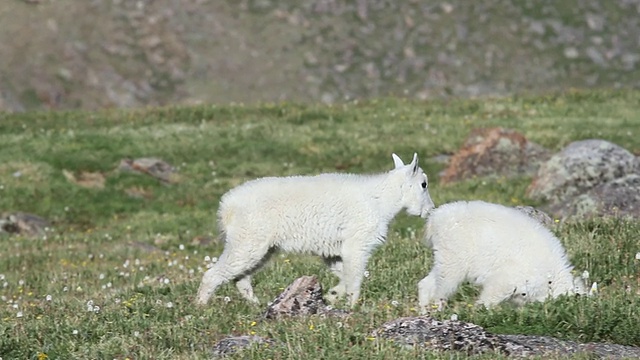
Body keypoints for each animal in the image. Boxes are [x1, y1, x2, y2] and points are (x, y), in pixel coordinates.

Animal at [195, 152, 436, 306]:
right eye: (424, 184)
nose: (430, 210)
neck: (382, 200)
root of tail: (226, 208)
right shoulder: (356, 243)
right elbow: (354, 276)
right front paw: (352, 306)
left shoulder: (333, 251)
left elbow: (344, 274)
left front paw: (332, 296)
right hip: (247, 240)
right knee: (214, 274)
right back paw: (200, 307)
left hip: (260, 246)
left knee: (241, 278)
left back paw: (256, 304)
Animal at [418, 200, 588, 312]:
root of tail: (434, 220)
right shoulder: (512, 276)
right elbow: (493, 292)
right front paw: (481, 310)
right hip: (455, 255)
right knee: (444, 283)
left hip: (445, 255)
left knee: (428, 281)